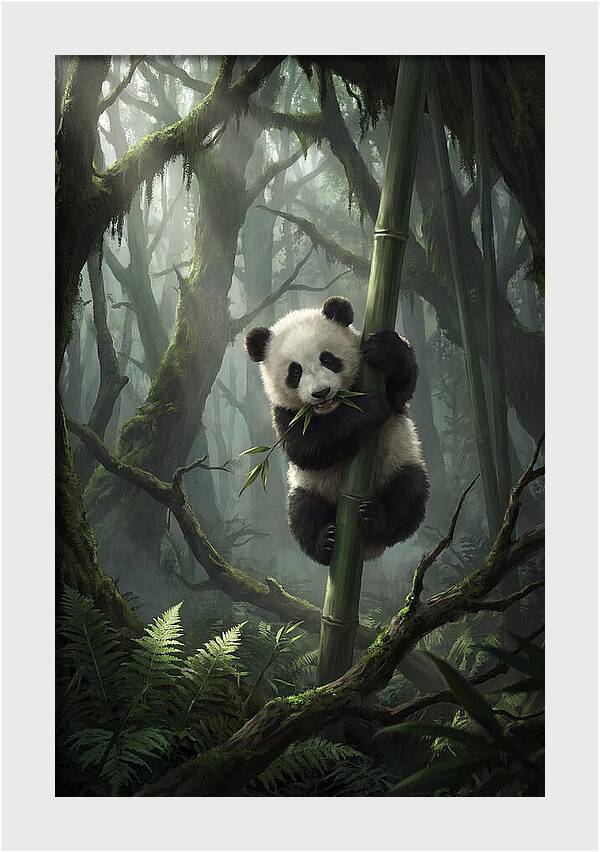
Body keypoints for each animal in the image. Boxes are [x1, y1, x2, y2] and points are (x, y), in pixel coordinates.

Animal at [245, 295, 429, 566]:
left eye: (328, 359)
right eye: (295, 371)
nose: (321, 393)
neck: (333, 408)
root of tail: (368, 550)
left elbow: (401, 388)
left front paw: (384, 350)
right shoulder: (284, 413)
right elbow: (306, 447)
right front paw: (369, 407)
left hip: (398, 463)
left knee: (408, 493)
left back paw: (376, 519)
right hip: (310, 487)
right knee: (302, 511)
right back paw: (326, 543)